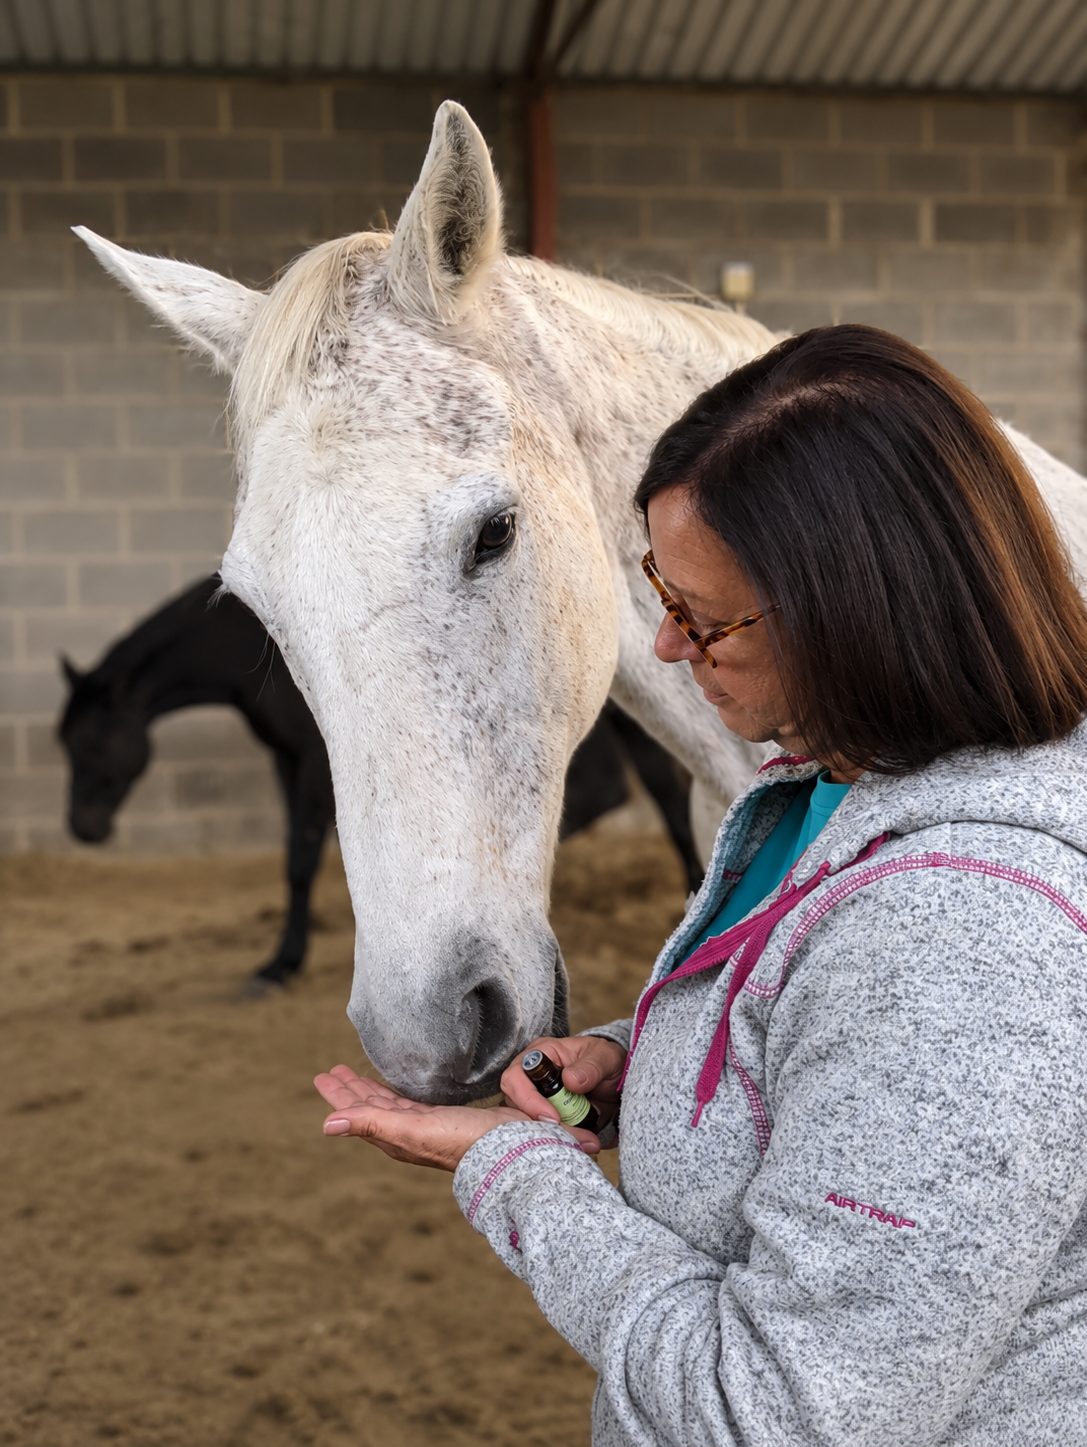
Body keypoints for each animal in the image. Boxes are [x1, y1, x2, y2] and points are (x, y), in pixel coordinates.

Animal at [57, 575, 704, 989]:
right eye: (64, 743)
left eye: (91, 744)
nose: (82, 830)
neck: (245, 644)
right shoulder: (286, 761)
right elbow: (294, 859)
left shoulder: (314, 762)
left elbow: (302, 858)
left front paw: (283, 964)